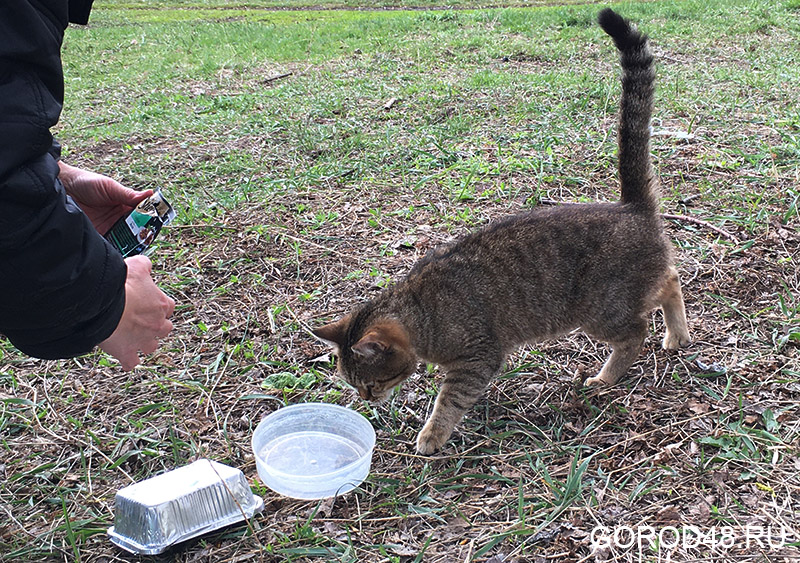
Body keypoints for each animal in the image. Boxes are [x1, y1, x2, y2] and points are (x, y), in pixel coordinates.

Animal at [310, 8, 688, 456]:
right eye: (355, 385)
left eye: (371, 382)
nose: (368, 400)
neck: (421, 312)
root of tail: (630, 206)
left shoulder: (477, 359)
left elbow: (448, 401)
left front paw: (431, 436)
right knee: (671, 279)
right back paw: (678, 335)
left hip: (601, 311)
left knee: (636, 333)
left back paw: (607, 376)